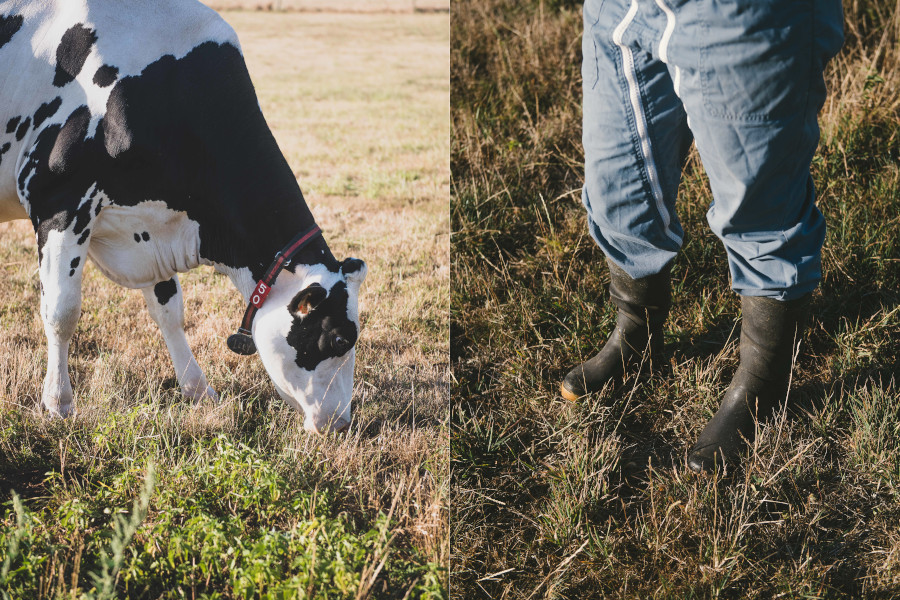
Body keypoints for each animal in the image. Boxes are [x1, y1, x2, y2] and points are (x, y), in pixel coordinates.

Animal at [0, 0, 368, 432]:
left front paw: (198, 390)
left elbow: (169, 312)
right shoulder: (59, 201)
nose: (341, 422)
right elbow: (61, 311)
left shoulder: (150, 225)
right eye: (340, 339)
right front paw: (58, 403)